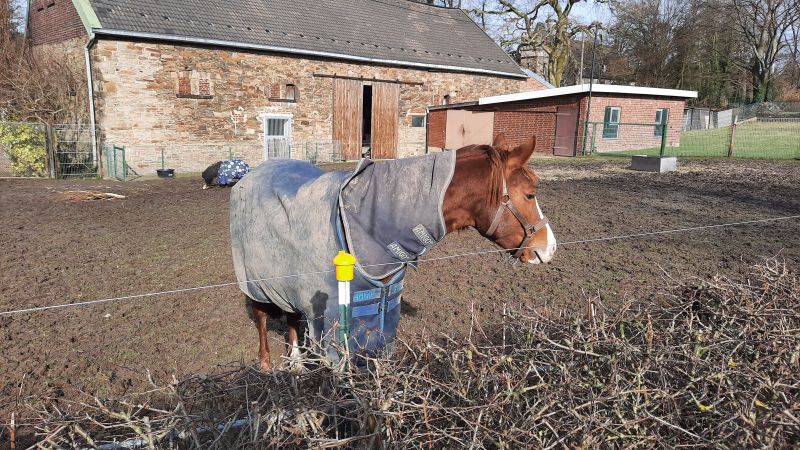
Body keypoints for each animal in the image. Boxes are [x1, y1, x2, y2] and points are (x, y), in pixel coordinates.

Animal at [230, 134, 556, 372]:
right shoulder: (333, 320)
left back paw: (297, 365)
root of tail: (250, 175)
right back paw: (266, 365)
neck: (367, 221)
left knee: (290, 318)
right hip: (256, 282)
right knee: (262, 319)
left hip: (286, 279)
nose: (549, 248)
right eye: (530, 194)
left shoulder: (382, 310)